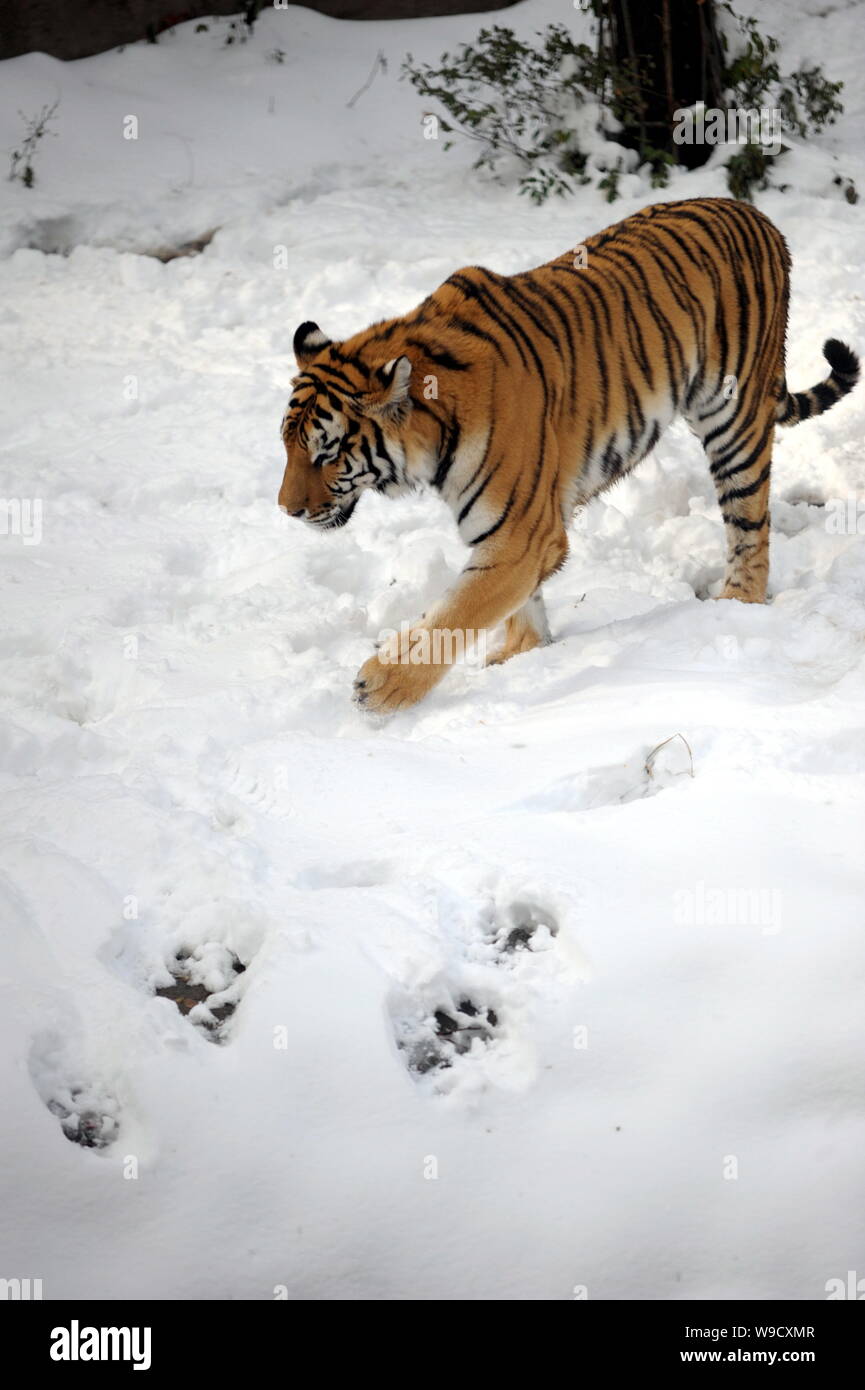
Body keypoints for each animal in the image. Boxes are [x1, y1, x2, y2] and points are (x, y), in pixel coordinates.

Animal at [279, 194, 862, 711]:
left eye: (326, 452)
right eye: (288, 446)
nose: (287, 511)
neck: (433, 431)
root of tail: (757, 215)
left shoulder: (522, 533)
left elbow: (459, 610)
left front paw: (382, 686)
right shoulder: (515, 534)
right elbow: (511, 603)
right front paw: (521, 654)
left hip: (733, 420)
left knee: (750, 527)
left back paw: (736, 604)